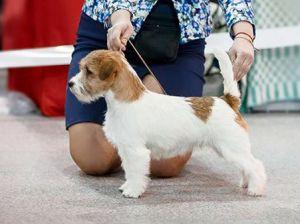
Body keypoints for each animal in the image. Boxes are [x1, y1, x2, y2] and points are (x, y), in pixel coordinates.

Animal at [69, 49, 266, 198]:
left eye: (88, 71)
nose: (70, 84)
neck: (126, 101)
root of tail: (227, 101)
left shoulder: (136, 151)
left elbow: (136, 172)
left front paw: (133, 191)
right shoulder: (126, 150)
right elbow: (129, 170)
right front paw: (127, 186)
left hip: (232, 148)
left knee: (255, 165)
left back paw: (256, 189)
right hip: (229, 149)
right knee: (246, 166)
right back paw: (246, 184)